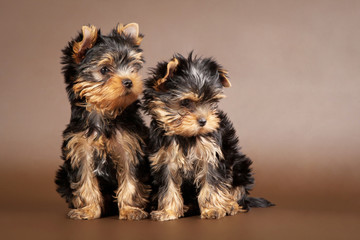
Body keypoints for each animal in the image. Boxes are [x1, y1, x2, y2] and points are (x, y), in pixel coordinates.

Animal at [54, 23, 150, 220]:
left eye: (133, 67)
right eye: (104, 70)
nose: (129, 81)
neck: (103, 111)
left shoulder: (130, 146)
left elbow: (131, 180)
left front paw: (130, 209)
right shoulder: (80, 148)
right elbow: (85, 182)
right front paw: (88, 210)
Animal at [143, 53, 272, 221]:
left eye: (211, 101)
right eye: (185, 102)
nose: (204, 121)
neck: (187, 135)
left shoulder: (211, 155)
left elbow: (211, 182)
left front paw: (213, 209)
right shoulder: (165, 158)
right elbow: (168, 185)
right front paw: (168, 212)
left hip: (240, 168)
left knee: (238, 191)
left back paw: (231, 205)